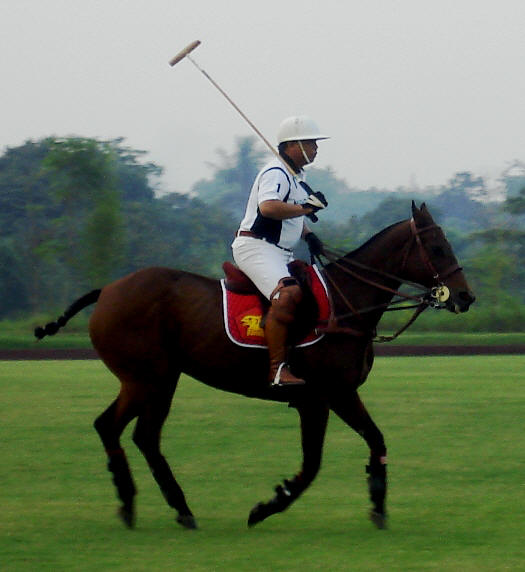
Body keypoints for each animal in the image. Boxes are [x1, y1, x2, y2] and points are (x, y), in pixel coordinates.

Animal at [34, 203, 472, 528]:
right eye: (436, 247)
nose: (465, 297)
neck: (346, 303)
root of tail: (107, 290)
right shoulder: (324, 396)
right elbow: (312, 464)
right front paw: (267, 506)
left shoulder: (336, 395)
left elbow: (375, 441)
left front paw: (378, 505)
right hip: (148, 379)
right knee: (128, 431)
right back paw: (160, 506)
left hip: (152, 379)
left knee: (127, 431)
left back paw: (156, 507)